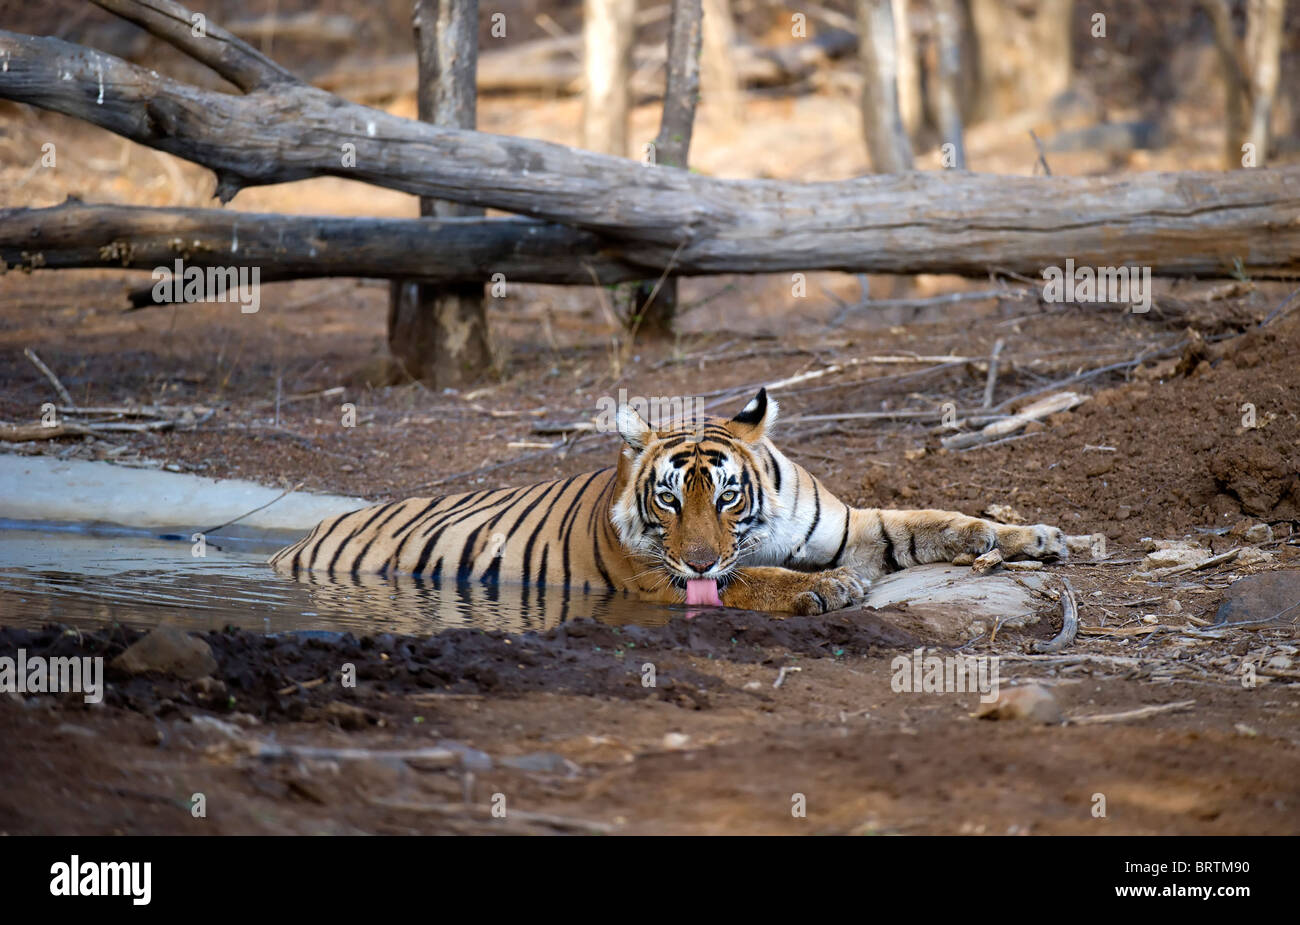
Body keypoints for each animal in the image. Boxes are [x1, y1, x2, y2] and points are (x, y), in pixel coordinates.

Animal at [271, 387, 1066, 618]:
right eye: (668, 502)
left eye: (727, 497)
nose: (700, 557)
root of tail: (297, 538)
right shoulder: (653, 576)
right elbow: (750, 577)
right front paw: (826, 588)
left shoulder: (854, 527)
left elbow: (934, 521)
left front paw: (1035, 538)